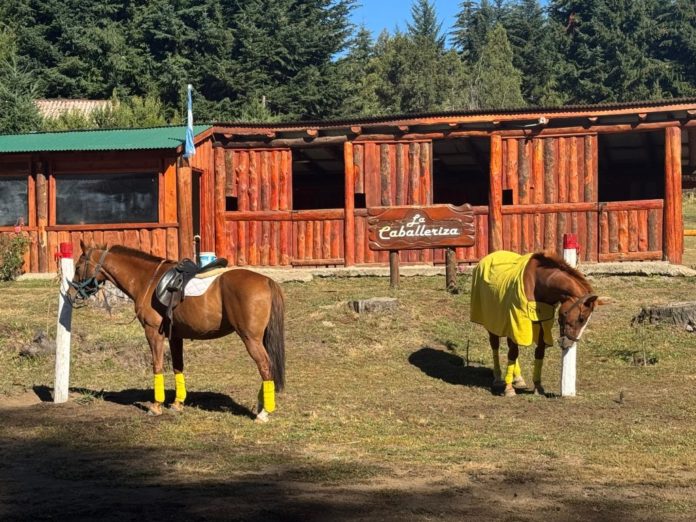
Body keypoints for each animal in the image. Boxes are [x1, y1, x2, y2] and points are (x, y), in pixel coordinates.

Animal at [68, 241, 285, 422]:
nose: (70, 293)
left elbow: (157, 366)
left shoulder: (153, 333)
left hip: (250, 339)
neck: (148, 280)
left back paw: (264, 413)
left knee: (265, 366)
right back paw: (261, 406)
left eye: (78, 267)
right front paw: (177, 403)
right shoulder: (176, 336)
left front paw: (156, 406)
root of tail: (267, 281)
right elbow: (177, 367)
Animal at [470, 250, 606, 397]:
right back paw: (498, 378)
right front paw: (509, 389)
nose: (569, 343)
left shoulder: (542, 325)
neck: (538, 284)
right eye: (582, 318)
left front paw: (537, 386)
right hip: (493, 322)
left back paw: (518, 379)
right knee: (495, 345)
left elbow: (539, 352)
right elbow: (513, 353)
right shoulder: (516, 322)